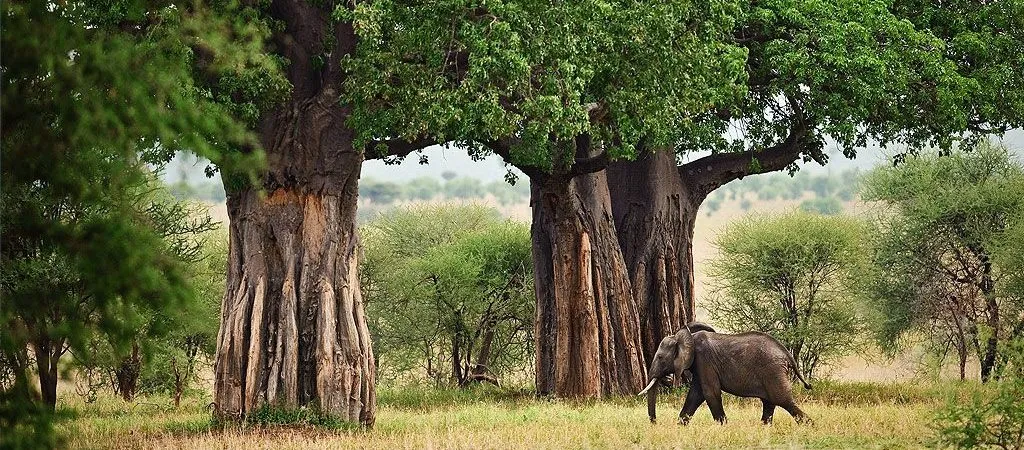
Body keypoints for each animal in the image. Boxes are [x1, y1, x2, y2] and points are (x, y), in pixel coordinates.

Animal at [634, 323, 811, 426]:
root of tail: (787, 354)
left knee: (783, 400)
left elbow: (709, 393)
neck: (688, 337)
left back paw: (809, 426)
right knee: (769, 402)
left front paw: (723, 426)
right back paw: (764, 427)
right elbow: (695, 395)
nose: (654, 423)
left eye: (660, 357)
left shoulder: (704, 360)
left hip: (772, 371)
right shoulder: (699, 366)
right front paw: (681, 426)